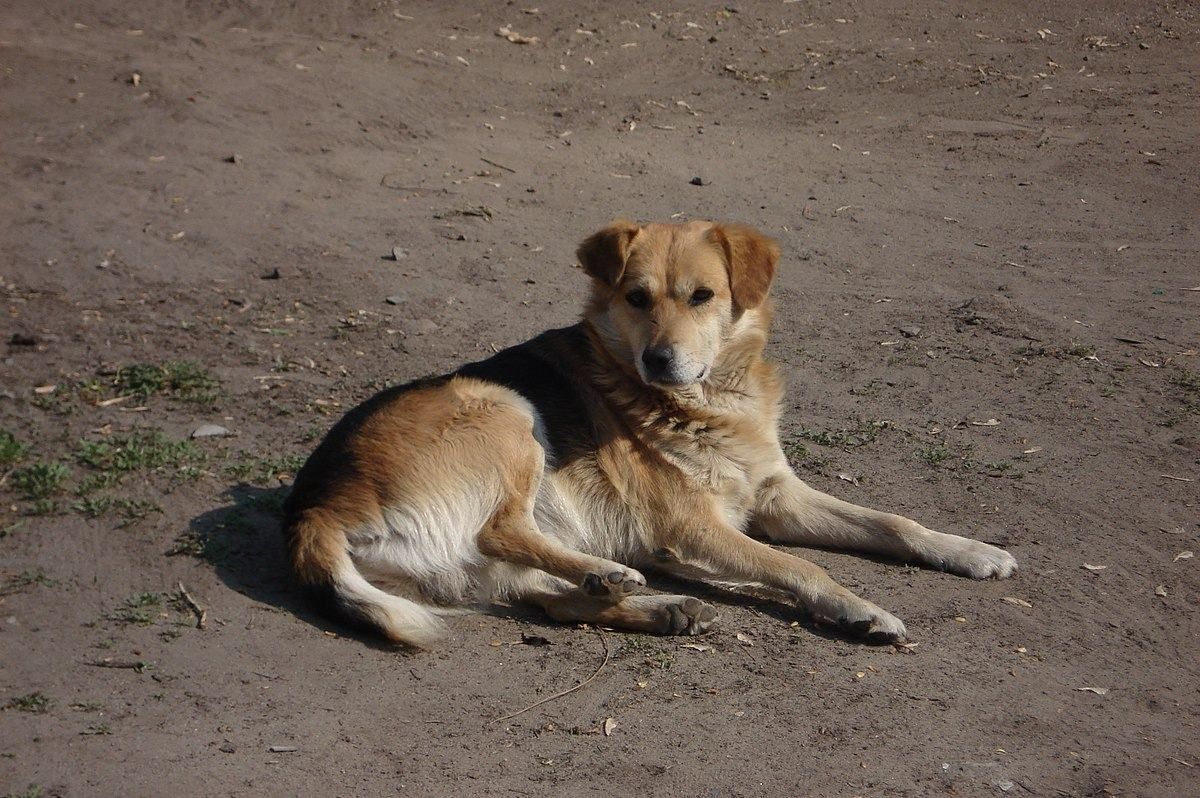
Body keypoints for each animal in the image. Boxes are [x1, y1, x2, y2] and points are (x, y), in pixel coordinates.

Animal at [280, 219, 1012, 648]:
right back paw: (610, 574)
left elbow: (894, 523)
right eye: (636, 298)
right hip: (506, 410)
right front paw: (860, 608)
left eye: (702, 297)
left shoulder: (776, 497)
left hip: (476, 560)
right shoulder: (692, 528)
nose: (658, 360)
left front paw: (970, 550)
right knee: (503, 529)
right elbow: (798, 566)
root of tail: (312, 509)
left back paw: (657, 607)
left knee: (549, 600)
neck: (710, 401)